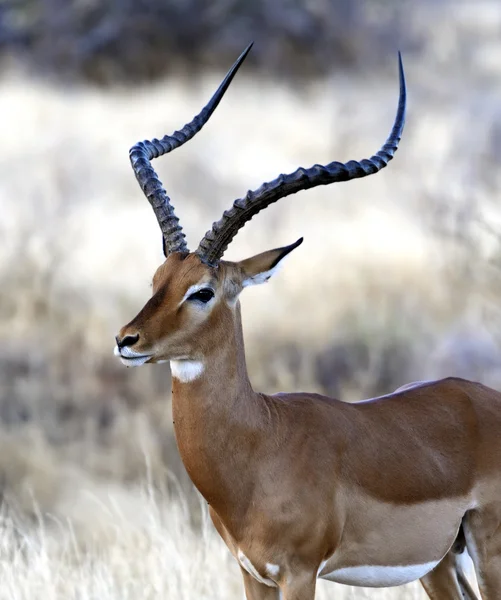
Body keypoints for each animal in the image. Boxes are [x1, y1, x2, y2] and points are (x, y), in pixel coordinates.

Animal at [114, 44, 500, 596]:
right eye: (157, 279)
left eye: (202, 291)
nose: (127, 340)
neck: (260, 440)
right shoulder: (251, 572)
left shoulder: (300, 572)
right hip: (442, 563)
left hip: (488, 550)